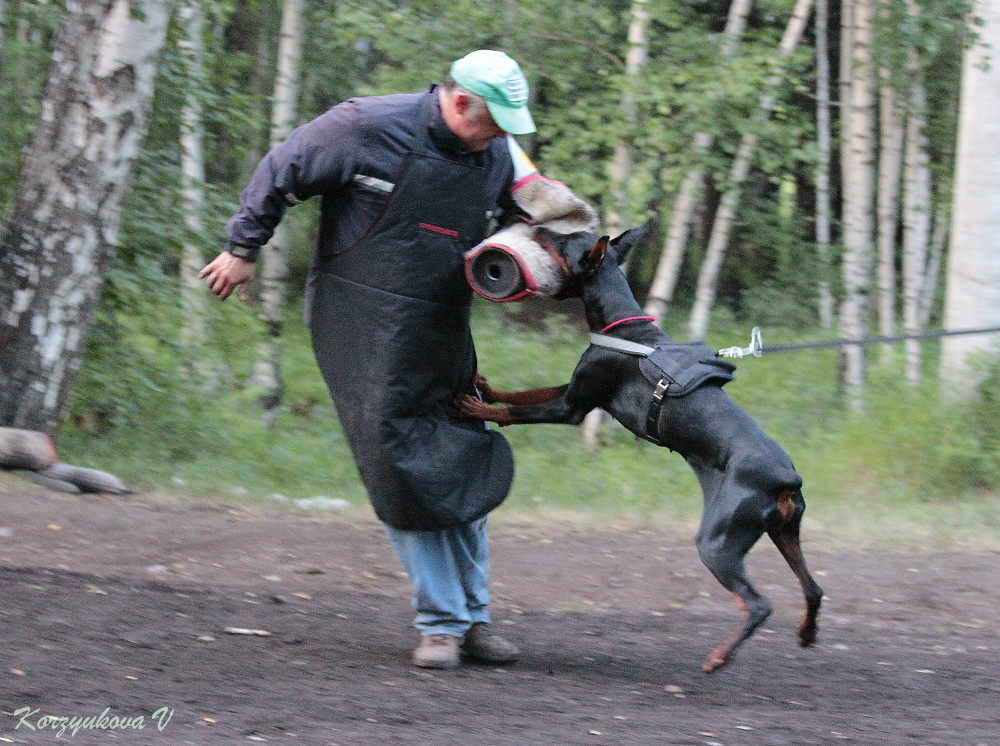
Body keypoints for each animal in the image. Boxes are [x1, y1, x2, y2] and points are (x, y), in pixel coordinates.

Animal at [458, 225, 824, 668]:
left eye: (563, 242)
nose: (537, 228)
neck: (621, 327)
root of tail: (787, 477)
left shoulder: (571, 407)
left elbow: (515, 411)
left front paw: (475, 406)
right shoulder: (574, 392)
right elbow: (523, 393)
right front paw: (487, 386)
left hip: (718, 540)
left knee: (758, 604)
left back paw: (719, 656)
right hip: (785, 531)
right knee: (813, 588)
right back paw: (806, 634)